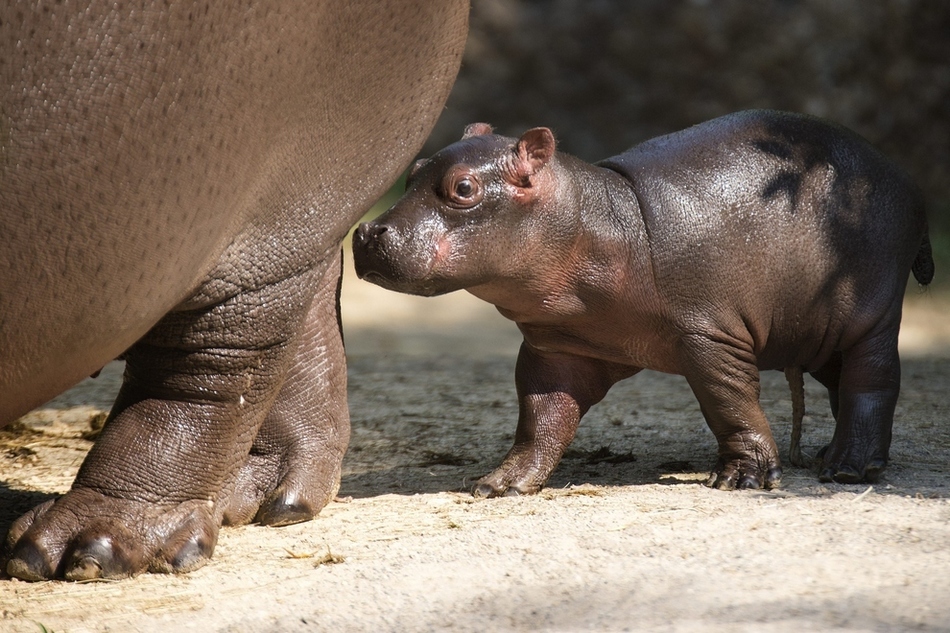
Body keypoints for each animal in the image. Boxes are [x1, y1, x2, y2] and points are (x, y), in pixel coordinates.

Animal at [354, 110, 932, 494]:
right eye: (413, 170)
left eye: (463, 188)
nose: (366, 232)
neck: (596, 220)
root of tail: (902, 175)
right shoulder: (555, 348)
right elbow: (539, 419)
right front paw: (499, 483)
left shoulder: (708, 337)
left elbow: (730, 403)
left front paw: (742, 479)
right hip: (816, 329)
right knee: (842, 382)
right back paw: (834, 456)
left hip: (871, 314)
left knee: (873, 381)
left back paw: (849, 467)